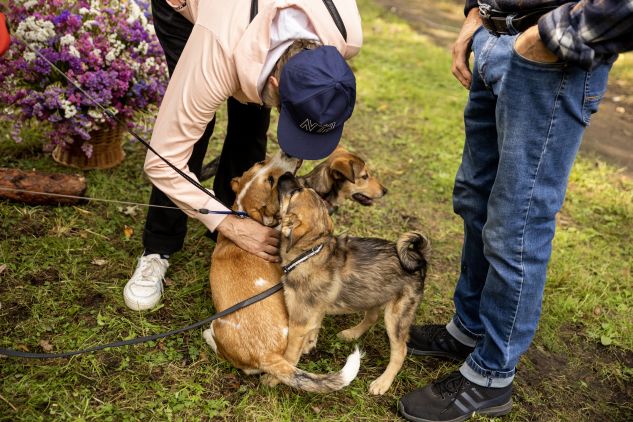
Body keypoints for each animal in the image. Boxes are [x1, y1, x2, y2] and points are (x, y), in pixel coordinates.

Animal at [204, 152, 360, 392]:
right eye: (270, 181)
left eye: (260, 162)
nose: (289, 153)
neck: (245, 215)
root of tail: (267, 355)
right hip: (218, 325)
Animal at [274, 172, 428, 396]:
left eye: (294, 192)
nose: (286, 173)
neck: (310, 252)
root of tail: (417, 258)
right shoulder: (313, 312)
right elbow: (314, 327)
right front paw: (310, 344)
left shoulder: (298, 322)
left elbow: (289, 356)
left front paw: (273, 380)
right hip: (373, 292)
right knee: (371, 316)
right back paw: (352, 333)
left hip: (397, 315)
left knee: (400, 350)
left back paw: (383, 382)